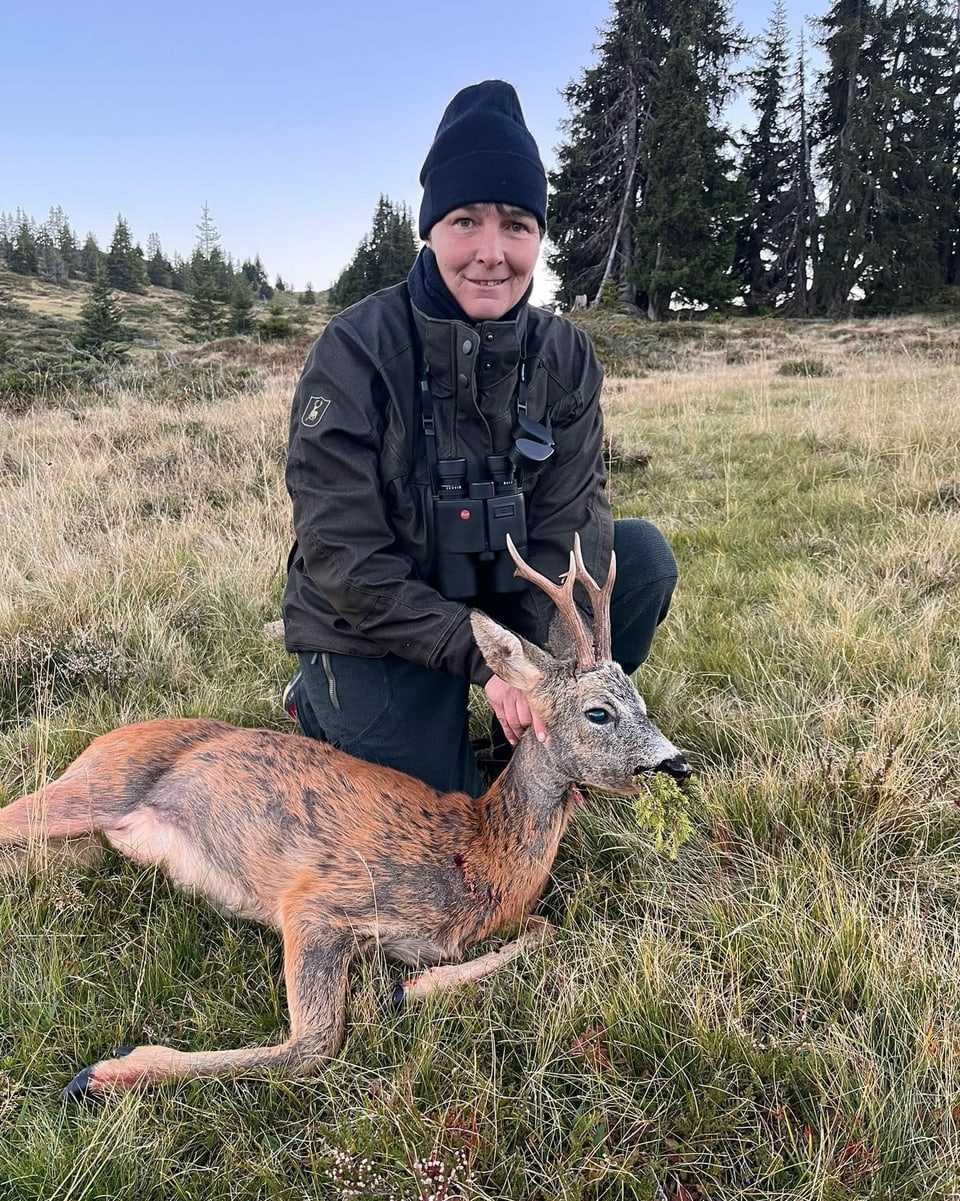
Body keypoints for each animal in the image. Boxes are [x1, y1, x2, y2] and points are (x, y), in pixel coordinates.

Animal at [1, 535, 692, 1100]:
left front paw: (407, 988)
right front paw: (103, 1070)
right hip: (95, 789)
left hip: (92, 834)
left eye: (640, 699)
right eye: (599, 712)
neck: (478, 856)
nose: (676, 763)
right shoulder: (317, 896)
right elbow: (312, 1044)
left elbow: (545, 931)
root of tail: (106, 740)